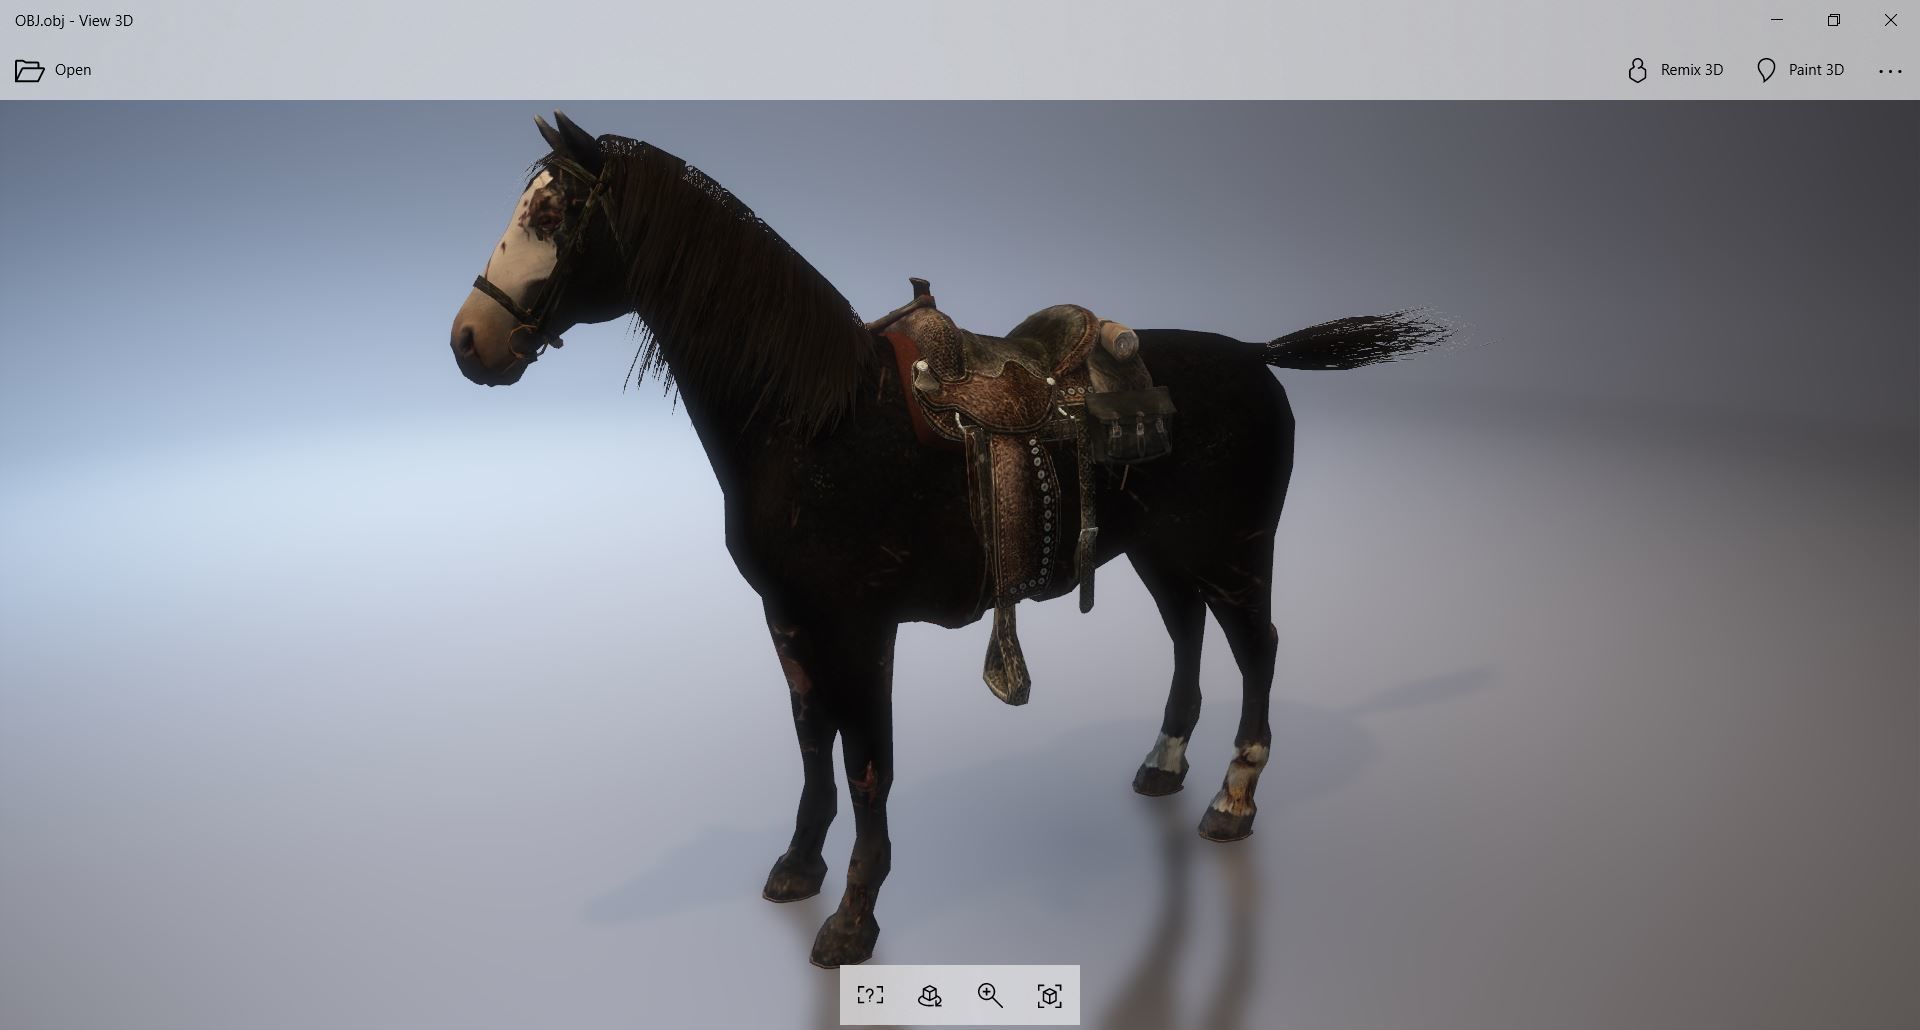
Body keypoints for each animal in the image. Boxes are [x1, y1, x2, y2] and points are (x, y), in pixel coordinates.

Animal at [446, 112, 1448, 968]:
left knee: (1258, 649)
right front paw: (799, 867)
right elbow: (812, 742)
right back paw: (1164, 764)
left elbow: (868, 765)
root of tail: (1255, 353)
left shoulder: (861, 629)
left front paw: (853, 919)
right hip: (1160, 551)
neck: (816, 418)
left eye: (550, 213)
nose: (467, 341)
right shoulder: (789, 619)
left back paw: (1233, 800)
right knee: (1188, 636)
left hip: (1236, 550)